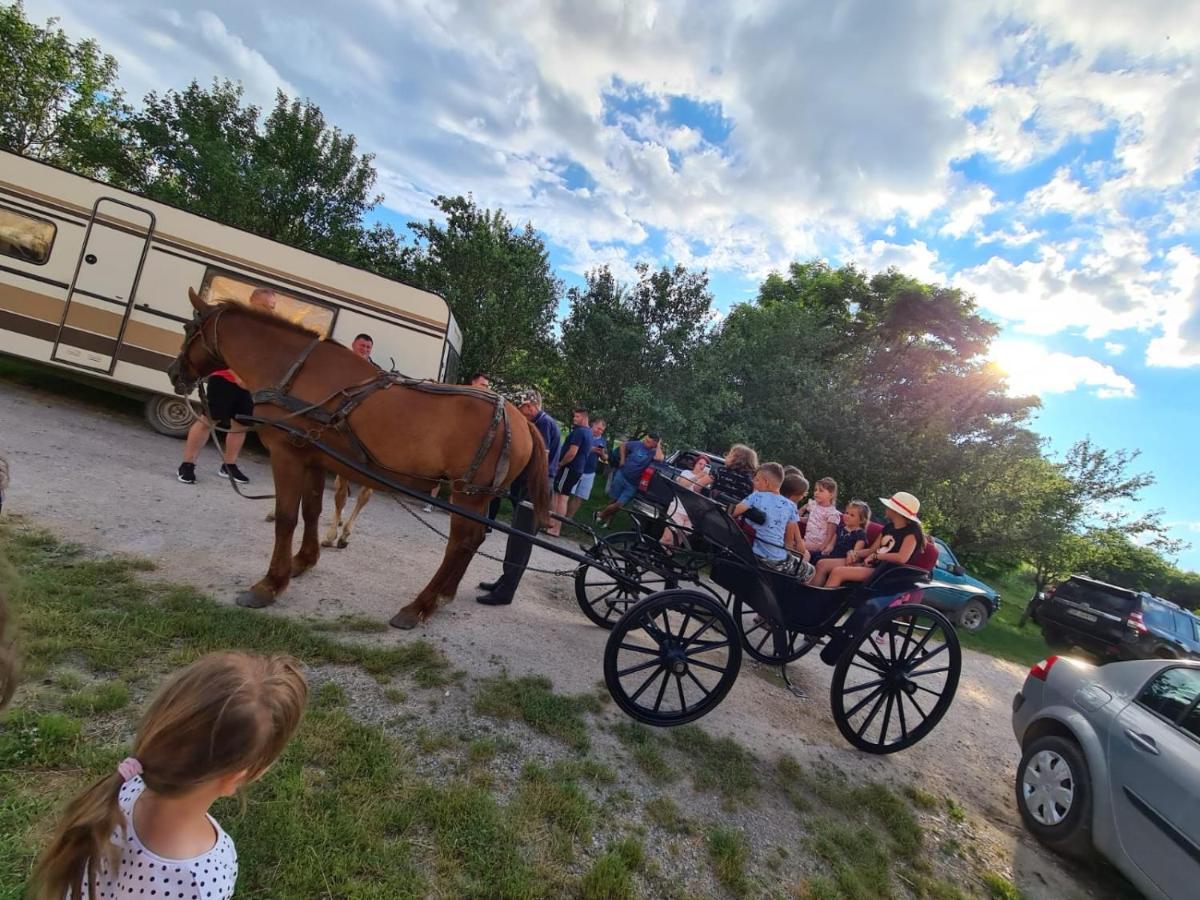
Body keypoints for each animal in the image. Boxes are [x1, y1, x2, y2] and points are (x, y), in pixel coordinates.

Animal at [166, 292, 549, 628]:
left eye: (188, 328)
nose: (173, 373)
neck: (297, 370)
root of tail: (522, 420)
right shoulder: (313, 456)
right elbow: (313, 510)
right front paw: (303, 560)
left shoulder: (287, 453)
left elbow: (286, 518)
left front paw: (270, 584)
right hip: (477, 495)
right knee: (472, 540)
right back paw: (443, 595)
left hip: (467, 492)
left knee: (461, 542)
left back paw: (419, 606)